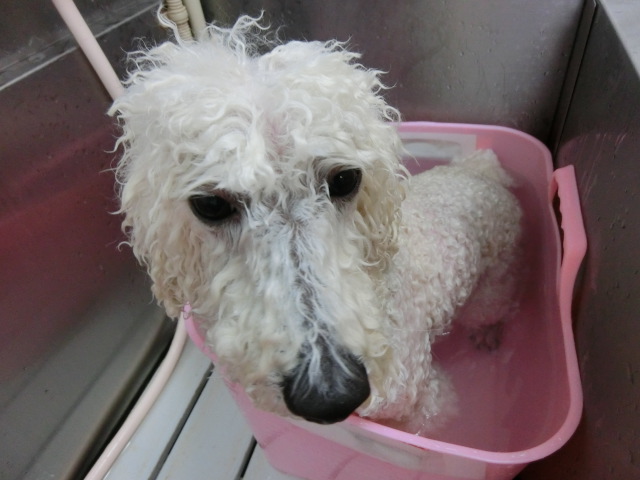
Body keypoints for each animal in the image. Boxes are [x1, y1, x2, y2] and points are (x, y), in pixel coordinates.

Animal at [110, 15, 522, 434]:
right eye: (210, 204)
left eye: (345, 179)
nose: (329, 393)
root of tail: (481, 171)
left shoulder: (428, 404)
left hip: (494, 282)